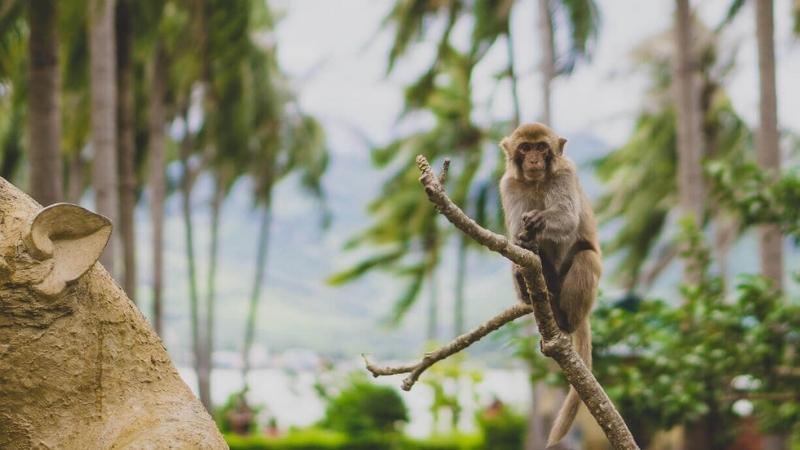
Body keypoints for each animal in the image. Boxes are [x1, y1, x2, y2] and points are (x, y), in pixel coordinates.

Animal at [499, 123, 602, 447]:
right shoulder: (509, 185)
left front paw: (539, 220)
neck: (536, 182)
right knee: (520, 262)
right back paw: (527, 286)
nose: (534, 160)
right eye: (525, 148)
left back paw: (563, 319)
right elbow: (515, 239)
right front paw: (523, 241)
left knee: (586, 258)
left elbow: (567, 218)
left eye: (542, 147)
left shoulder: (565, 173)